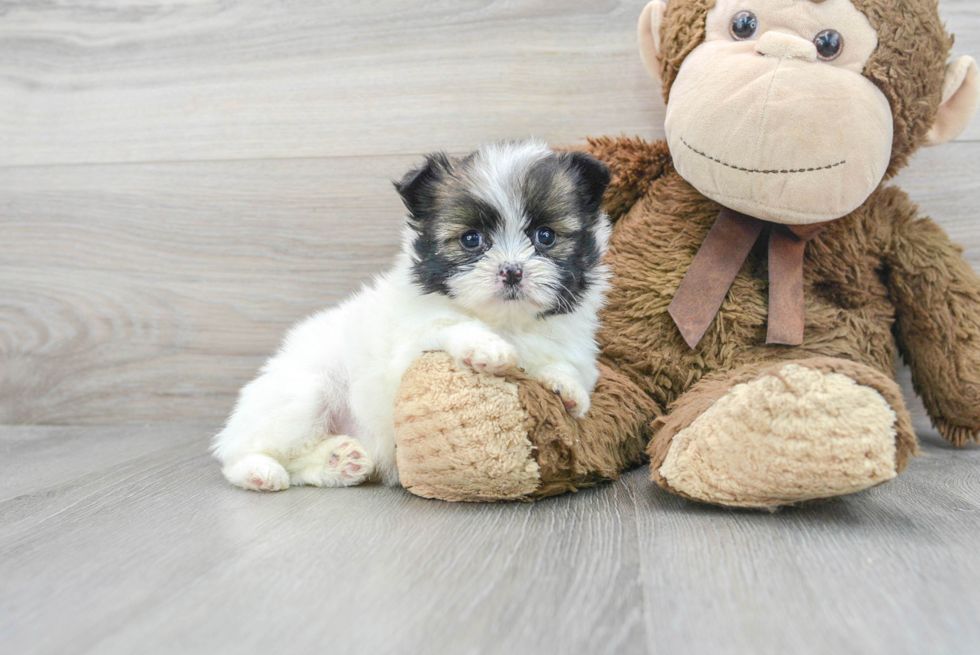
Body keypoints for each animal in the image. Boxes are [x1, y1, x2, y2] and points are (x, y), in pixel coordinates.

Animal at [213, 142, 608, 492]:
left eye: (546, 236)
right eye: (471, 239)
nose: (511, 271)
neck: (507, 323)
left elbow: (568, 368)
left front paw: (566, 388)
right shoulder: (409, 349)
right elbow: (452, 326)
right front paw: (487, 348)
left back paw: (339, 463)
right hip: (302, 393)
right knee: (242, 453)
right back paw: (258, 471)